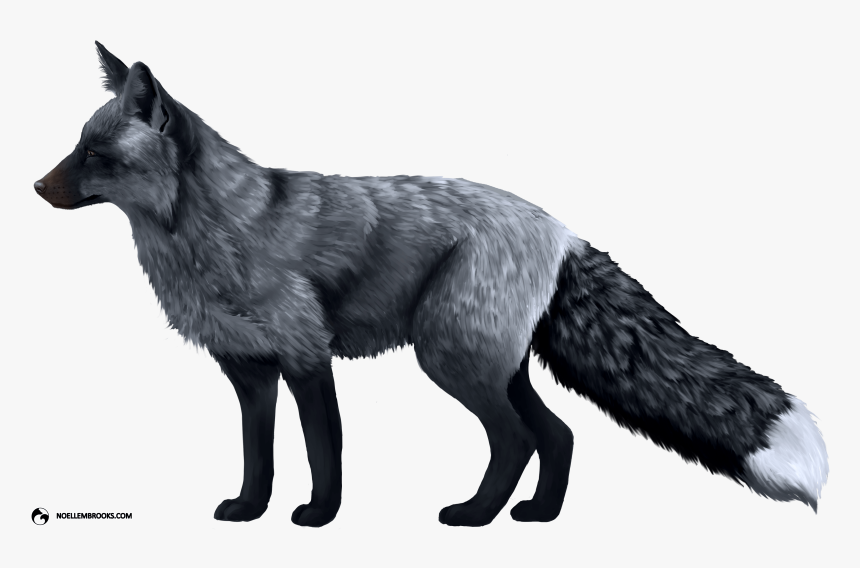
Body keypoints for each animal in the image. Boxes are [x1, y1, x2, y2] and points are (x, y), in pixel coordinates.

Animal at [34, 42, 828, 527]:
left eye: (96, 155)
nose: (37, 187)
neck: (212, 232)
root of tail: (560, 227)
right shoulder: (249, 370)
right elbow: (258, 456)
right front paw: (250, 511)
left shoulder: (306, 356)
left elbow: (324, 451)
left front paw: (318, 518)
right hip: (490, 364)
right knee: (559, 434)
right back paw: (536, 516)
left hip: (450, 359)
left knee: (517, 438)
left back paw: (475, 517)